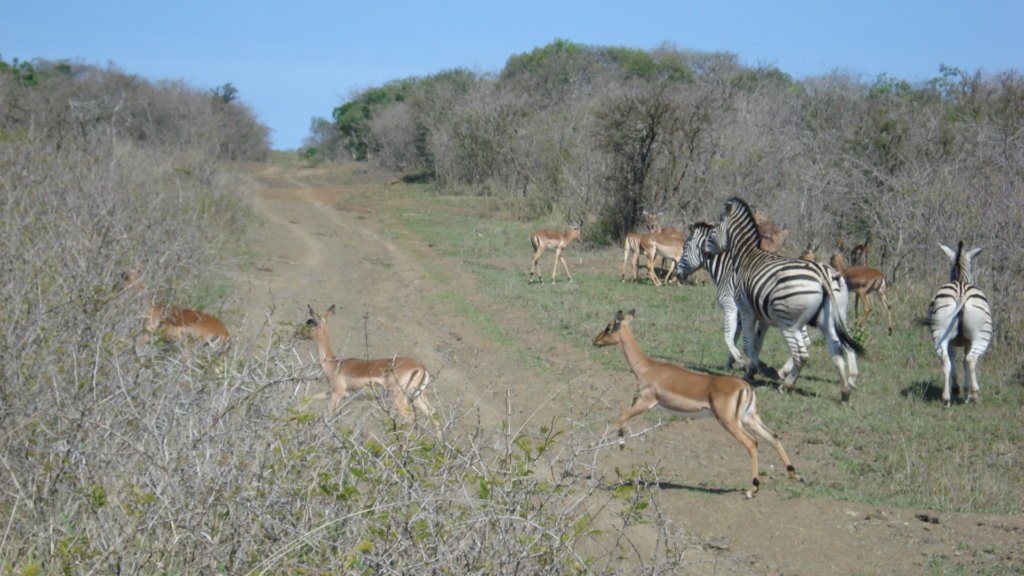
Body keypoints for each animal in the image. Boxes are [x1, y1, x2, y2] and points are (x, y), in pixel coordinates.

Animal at [705, 197, 864, 401]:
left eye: (715, 227)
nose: (706, 252)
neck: (746, 257)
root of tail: (824, 275)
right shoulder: (760, 315)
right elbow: (755, 343)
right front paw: (751, 370)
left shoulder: (746, 308)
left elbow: (748, 345)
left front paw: (762, 369)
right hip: (828, 319)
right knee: (838, 350)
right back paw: (845, 390)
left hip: (789, 323)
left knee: (802, 355)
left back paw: (786, 384)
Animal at [926, 242, 993, 405]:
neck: (961, 278)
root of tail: (960, 294)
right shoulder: (968, 343)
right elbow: (964, 361)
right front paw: (966, 392)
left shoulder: (952, 342)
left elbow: (954, 360)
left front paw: (957, 388)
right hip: (981, 336)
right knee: (971, 359)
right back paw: (974, 395)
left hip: (940, 335)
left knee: (945, 361)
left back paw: (946, 398)